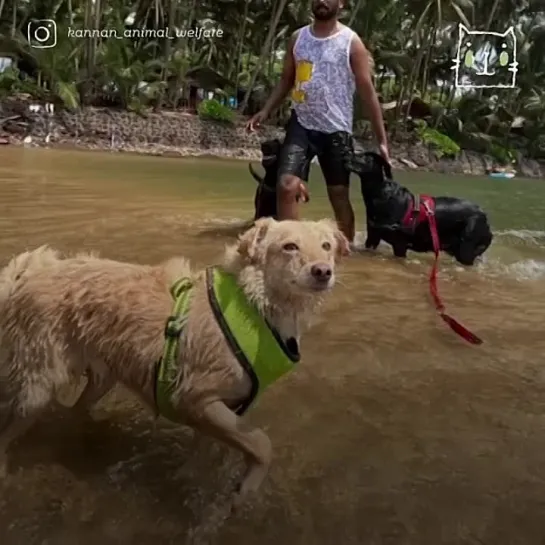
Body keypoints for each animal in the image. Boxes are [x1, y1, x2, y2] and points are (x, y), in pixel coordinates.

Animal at [344, 151, 492, 266]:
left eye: (361, 156)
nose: (345, 154)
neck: (379, 194)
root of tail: (484, 217)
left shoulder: (400, 244)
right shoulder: (372, 237)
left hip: (466, 249)